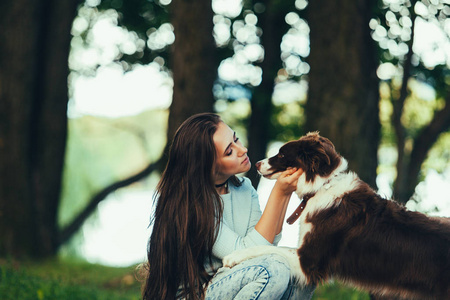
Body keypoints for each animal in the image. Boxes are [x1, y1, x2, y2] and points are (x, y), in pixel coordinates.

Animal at [223, 132, 448, 300]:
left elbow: (267, 248)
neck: (323, 186)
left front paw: (234, 256)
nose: (256, 163)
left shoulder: (309, 261)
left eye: (281, 154)